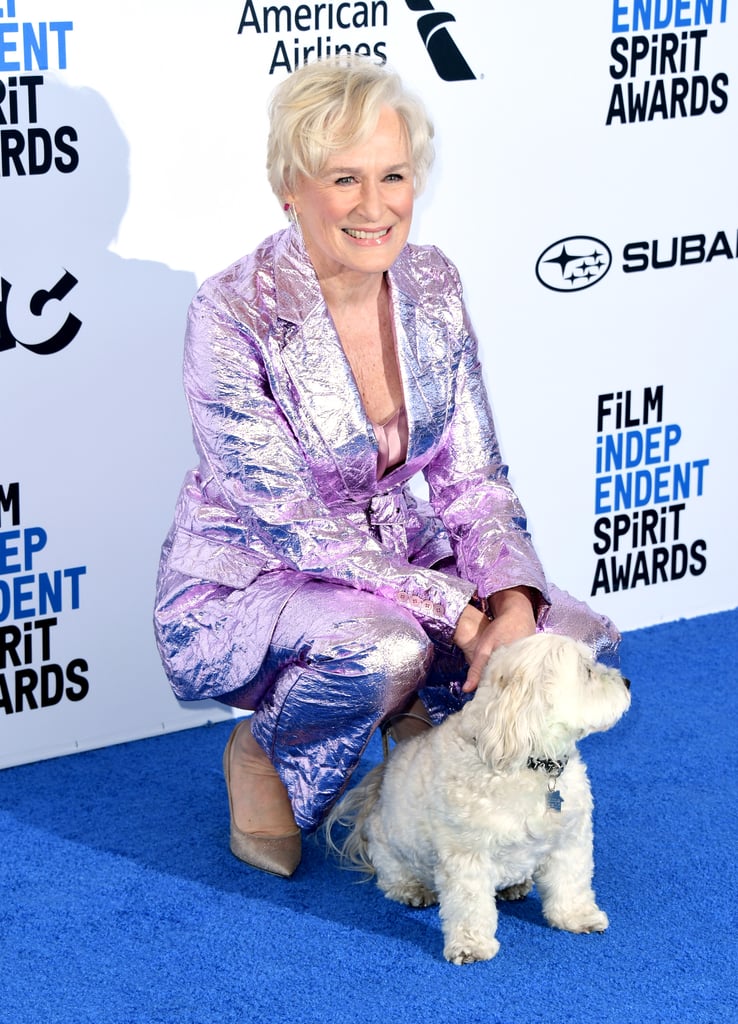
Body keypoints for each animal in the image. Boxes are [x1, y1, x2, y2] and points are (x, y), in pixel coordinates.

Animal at [325, 634, 630, 962]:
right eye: (587, 671)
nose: (627, 681)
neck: (533, 764)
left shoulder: (569, 840)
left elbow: (571, 883)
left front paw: (577, 917)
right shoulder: (468, 857)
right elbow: (470, 907)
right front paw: (470, 945)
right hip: (391, 849)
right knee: (392, 876)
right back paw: (412, 888)